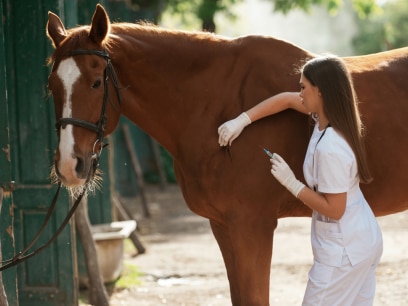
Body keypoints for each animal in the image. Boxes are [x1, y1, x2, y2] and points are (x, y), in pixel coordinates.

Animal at [45, 4, 408, 306]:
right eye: (52, 86)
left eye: (95, 83)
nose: (69, 165)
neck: (214, 102)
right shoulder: (224, 226)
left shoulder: (251, 227)